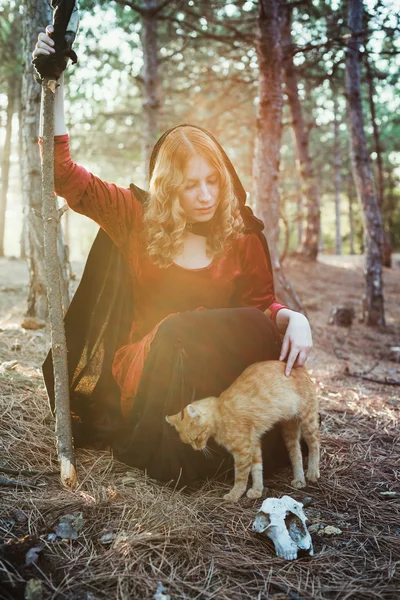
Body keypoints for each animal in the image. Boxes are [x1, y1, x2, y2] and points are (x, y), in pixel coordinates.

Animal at [165, 360, 318, 502]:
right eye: (188, 443)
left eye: (196, 439)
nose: (196, 449)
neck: (220, 412)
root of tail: (296, 366)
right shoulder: (253, 444)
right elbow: (257, 469)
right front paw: (257, 490)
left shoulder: (242, 451)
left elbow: (240, 476)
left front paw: (235, 494)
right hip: (289, 430)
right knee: (296, 453)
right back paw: (299, 479)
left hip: (307, 419)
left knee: (315, 443)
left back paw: (313, 472)